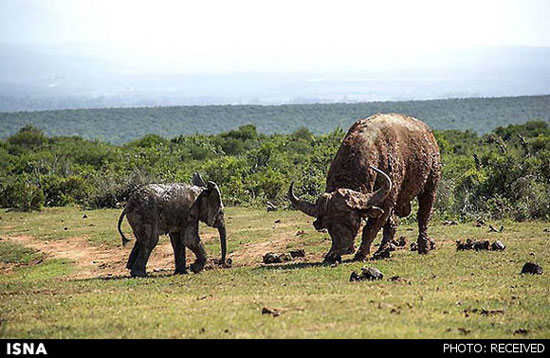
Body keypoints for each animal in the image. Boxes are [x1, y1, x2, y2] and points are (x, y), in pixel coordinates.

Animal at [292, 113, 442, 262]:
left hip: (431, 184)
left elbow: (370, 228)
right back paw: (383, 251)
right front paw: (331, 255)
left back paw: (423, 247)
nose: (340, 250)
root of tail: (430, 137)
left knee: (423, 216)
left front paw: (361, 254)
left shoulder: (386, 200)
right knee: (392, 222)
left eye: (352, 221)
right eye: (328, 224)